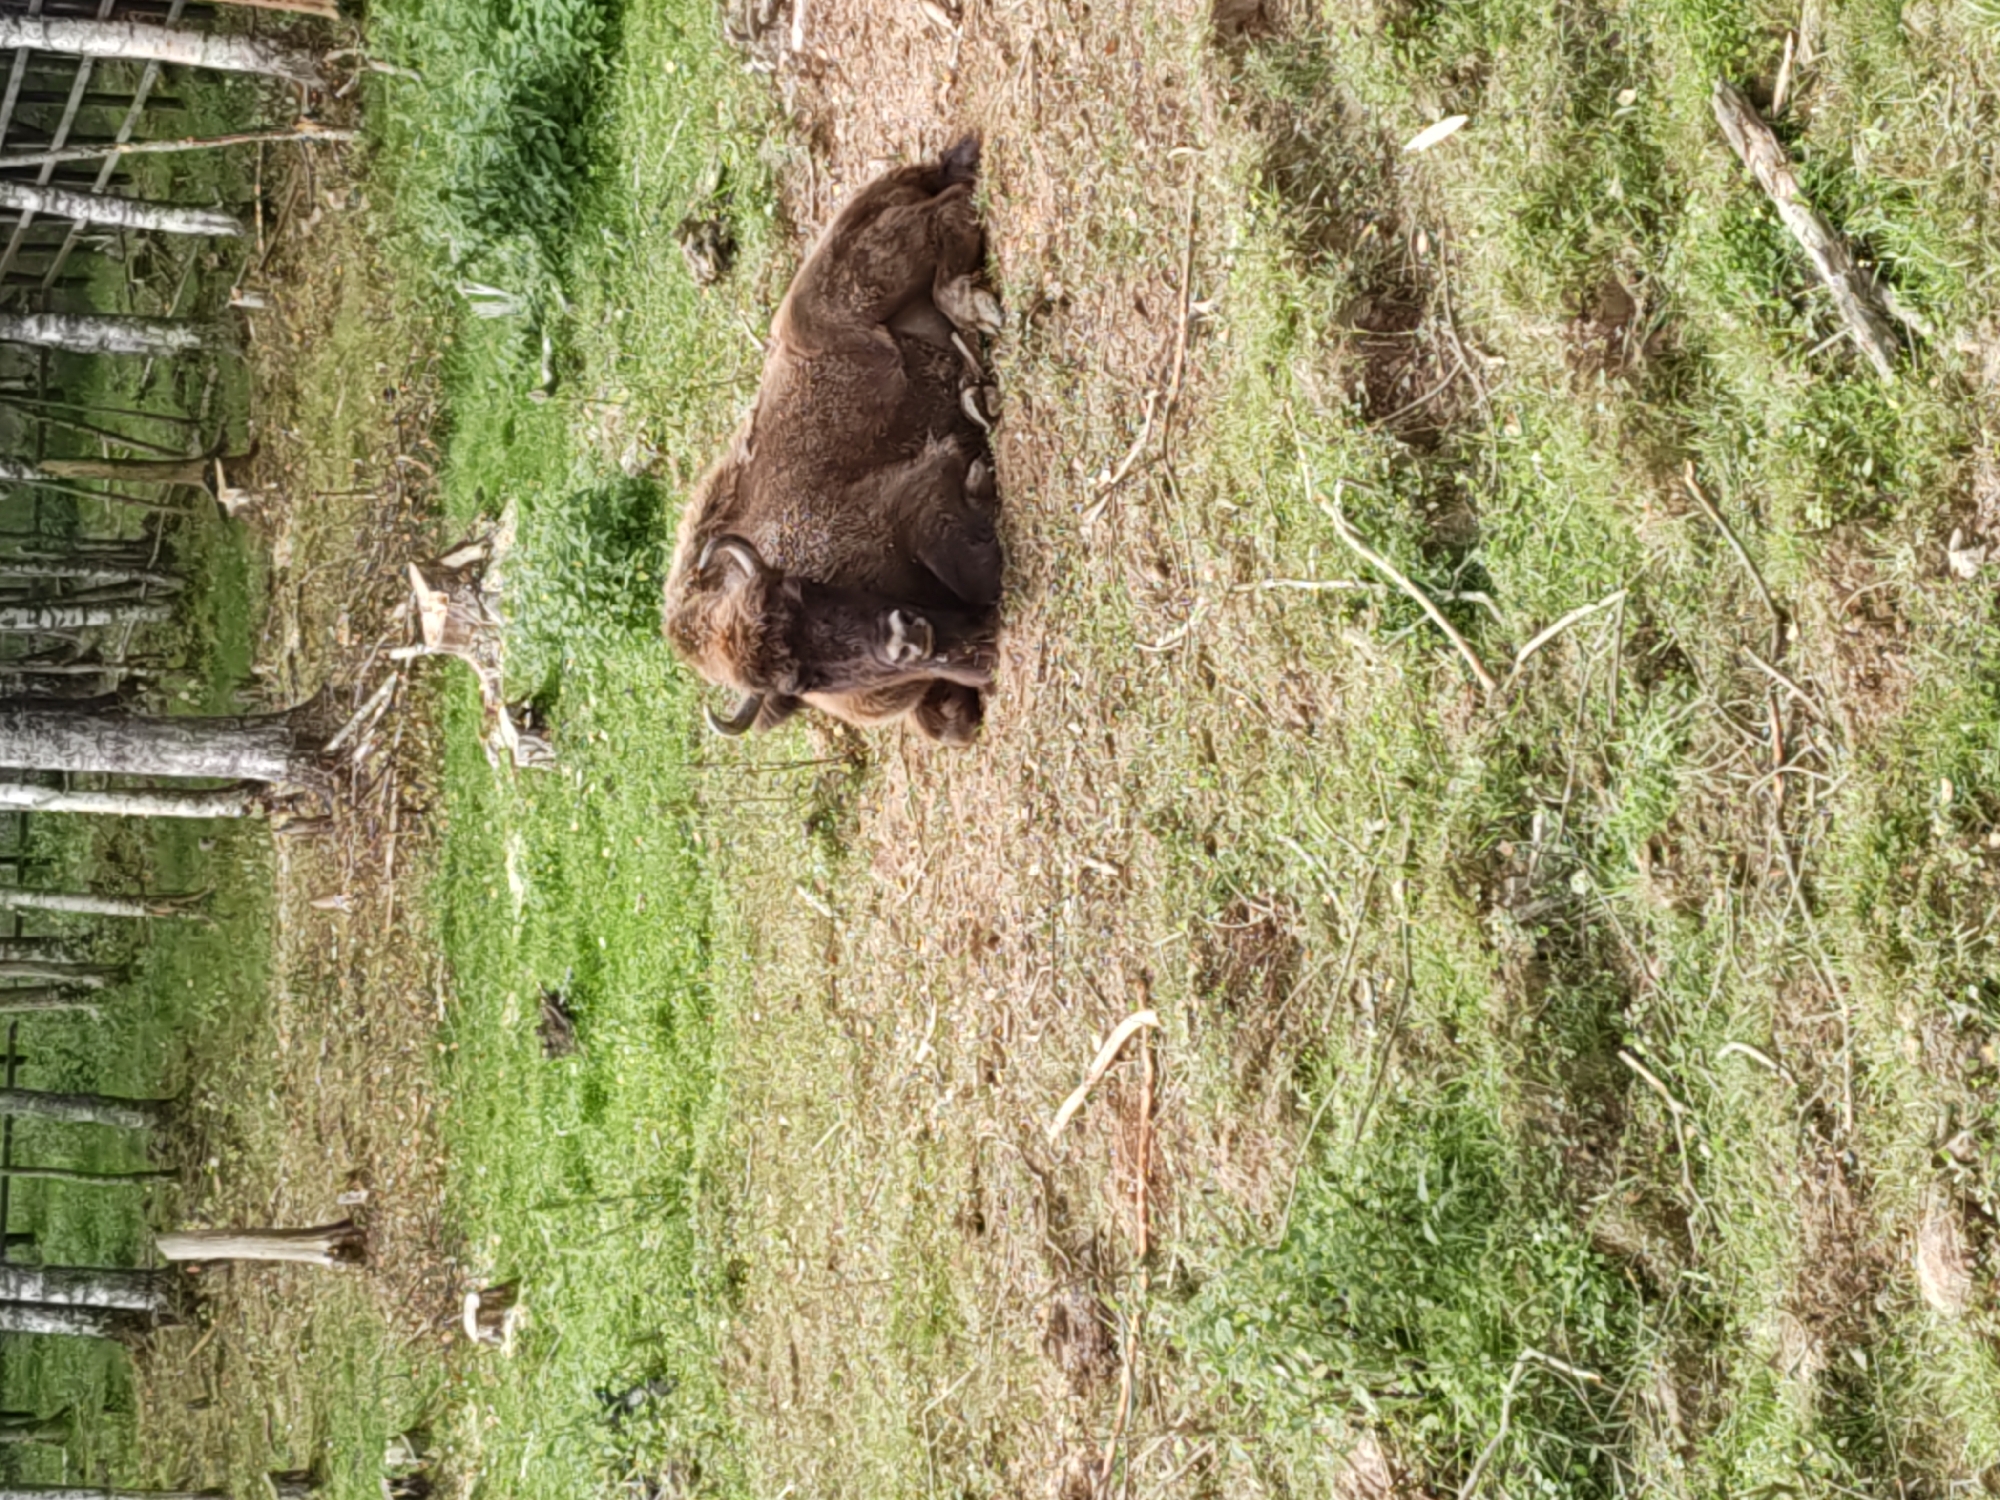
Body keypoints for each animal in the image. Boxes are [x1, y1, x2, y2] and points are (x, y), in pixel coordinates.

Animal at [663, 136, 1004, 745]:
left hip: (882, 269)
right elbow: (948, 721)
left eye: (798, 591)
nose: (905, 639)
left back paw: (978, 335)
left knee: (949, 217)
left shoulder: (909, 498)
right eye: (799, 682)